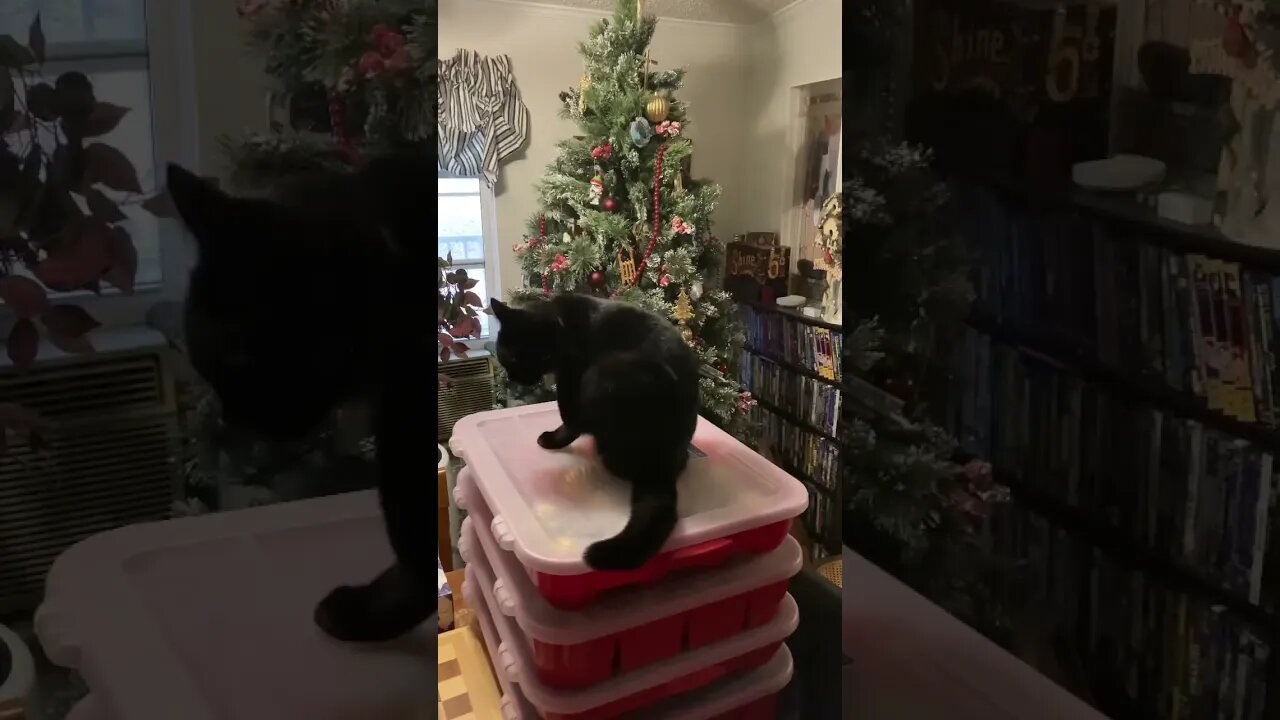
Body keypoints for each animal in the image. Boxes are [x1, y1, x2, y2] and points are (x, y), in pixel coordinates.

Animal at [488, 294, 701, 568]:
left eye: (540, 357)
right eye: (511, 357)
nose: (519, 379)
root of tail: (660, 467)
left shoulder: (571, 377)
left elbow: (569, 419)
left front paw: (552, 440)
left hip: (603, 372)